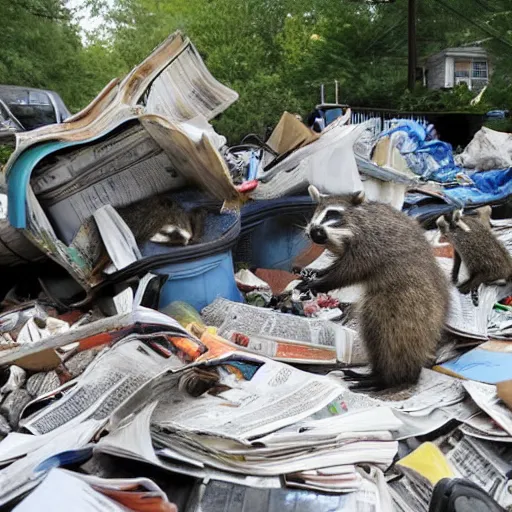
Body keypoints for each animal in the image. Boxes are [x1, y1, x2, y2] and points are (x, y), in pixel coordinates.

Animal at [298, 186, 450, 390]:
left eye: (332, 214)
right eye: (316, 212)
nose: (314, 232)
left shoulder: (371, 243)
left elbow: (349, 271)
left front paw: (322, 282)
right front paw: (319, 272)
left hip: (406, 306)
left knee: (388, 338)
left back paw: (387, 377)